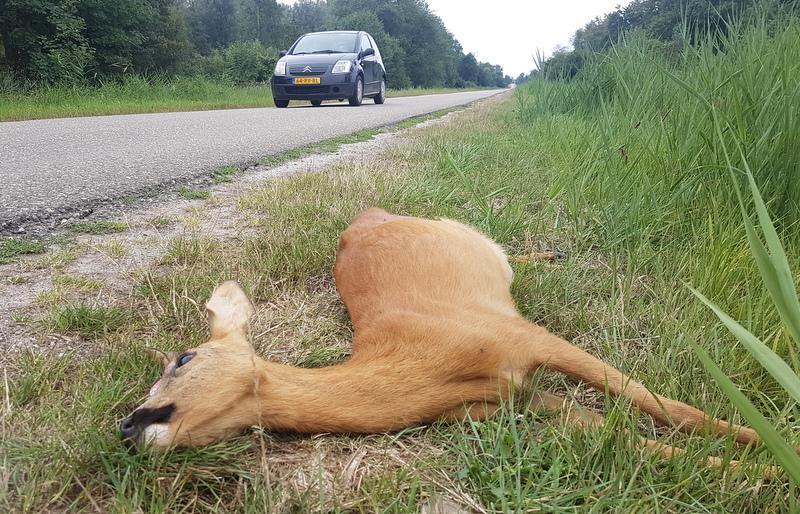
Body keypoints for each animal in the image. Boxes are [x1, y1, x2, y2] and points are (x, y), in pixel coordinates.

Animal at [123, 207, 780, 476]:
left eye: (181, 358)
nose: (126, 426)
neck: (429, 365)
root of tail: (361, 216)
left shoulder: (527, 334)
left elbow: (664, 405)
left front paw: (763, 440)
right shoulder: (513, 401)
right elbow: (630, 439)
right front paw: (755, 470)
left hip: (466, 237)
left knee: (506, 249)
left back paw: (550, 254)